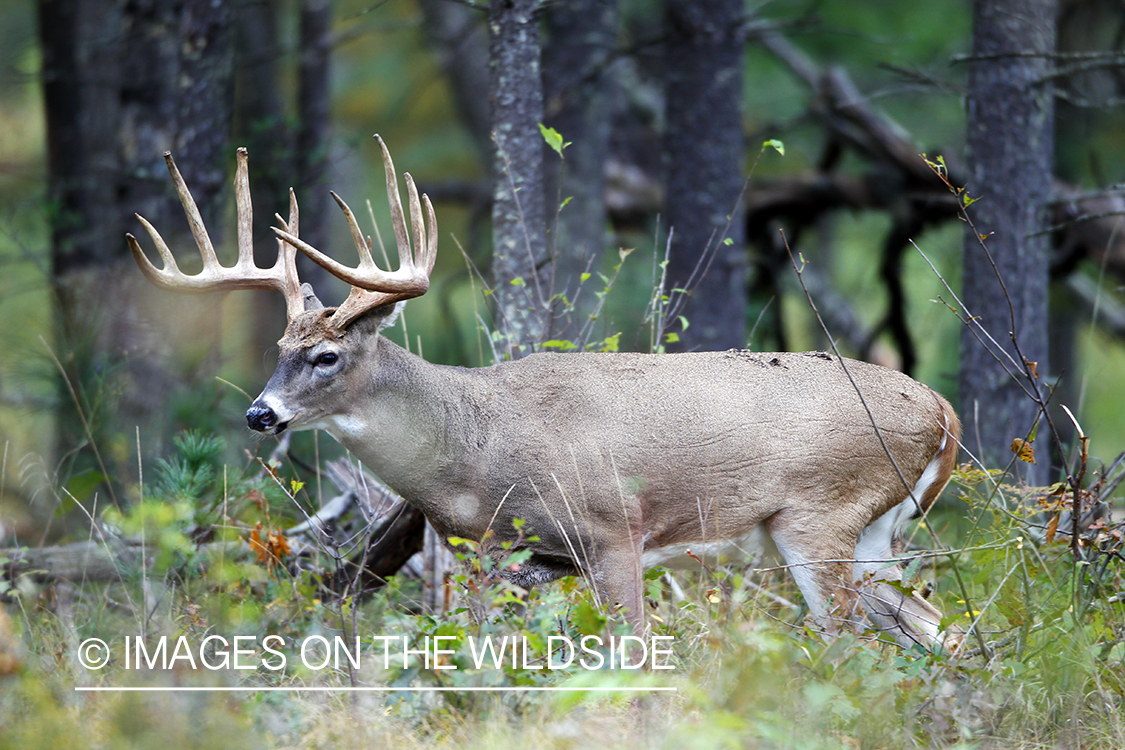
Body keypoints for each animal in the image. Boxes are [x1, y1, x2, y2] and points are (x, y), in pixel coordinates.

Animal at [129, 136, 958, 652]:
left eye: (326, 355)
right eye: (277, 351)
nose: (258, 413)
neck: (474, 442)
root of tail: (941, 411)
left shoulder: (616, 528)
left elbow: (634, 651)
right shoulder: (505, 549)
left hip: (818, 513)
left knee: (848, 640)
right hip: (874, 533)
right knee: (931, 623)